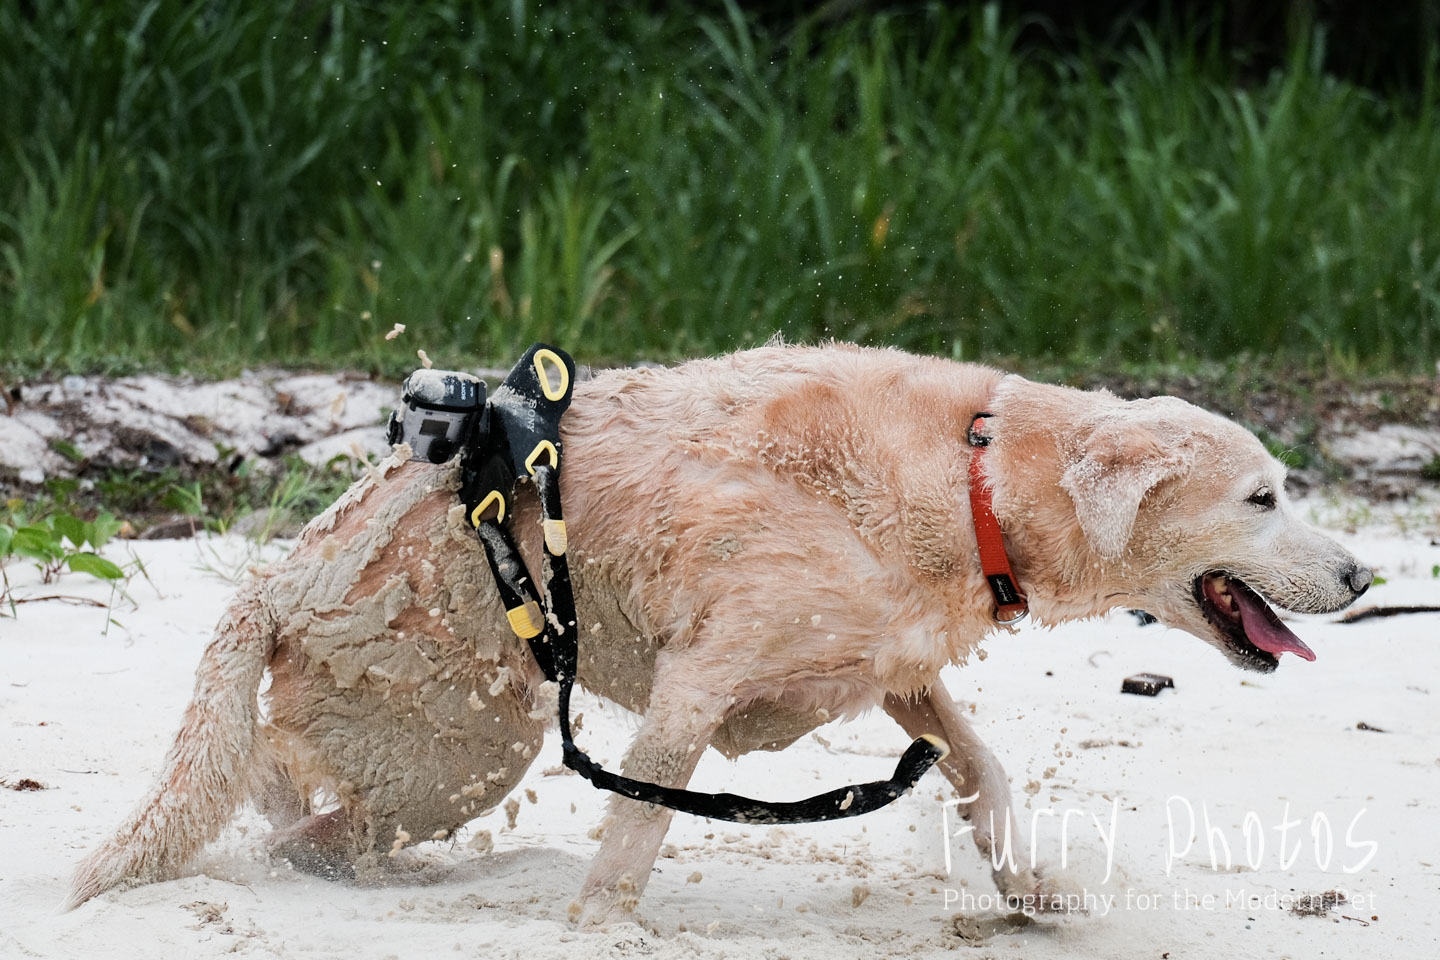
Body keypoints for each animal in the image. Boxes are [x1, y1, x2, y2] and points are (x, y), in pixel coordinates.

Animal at [68, 343, 1371, 925]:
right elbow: (638, 830)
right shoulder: (698, 683)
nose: (1366, 576)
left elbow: (980, 766)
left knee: (283, 785)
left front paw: (1034, 886)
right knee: (308, 822)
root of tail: (276, 584)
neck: (980, 480)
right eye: (1264, 498)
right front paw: (601, 929)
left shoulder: (895, 667)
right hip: (465, 746)